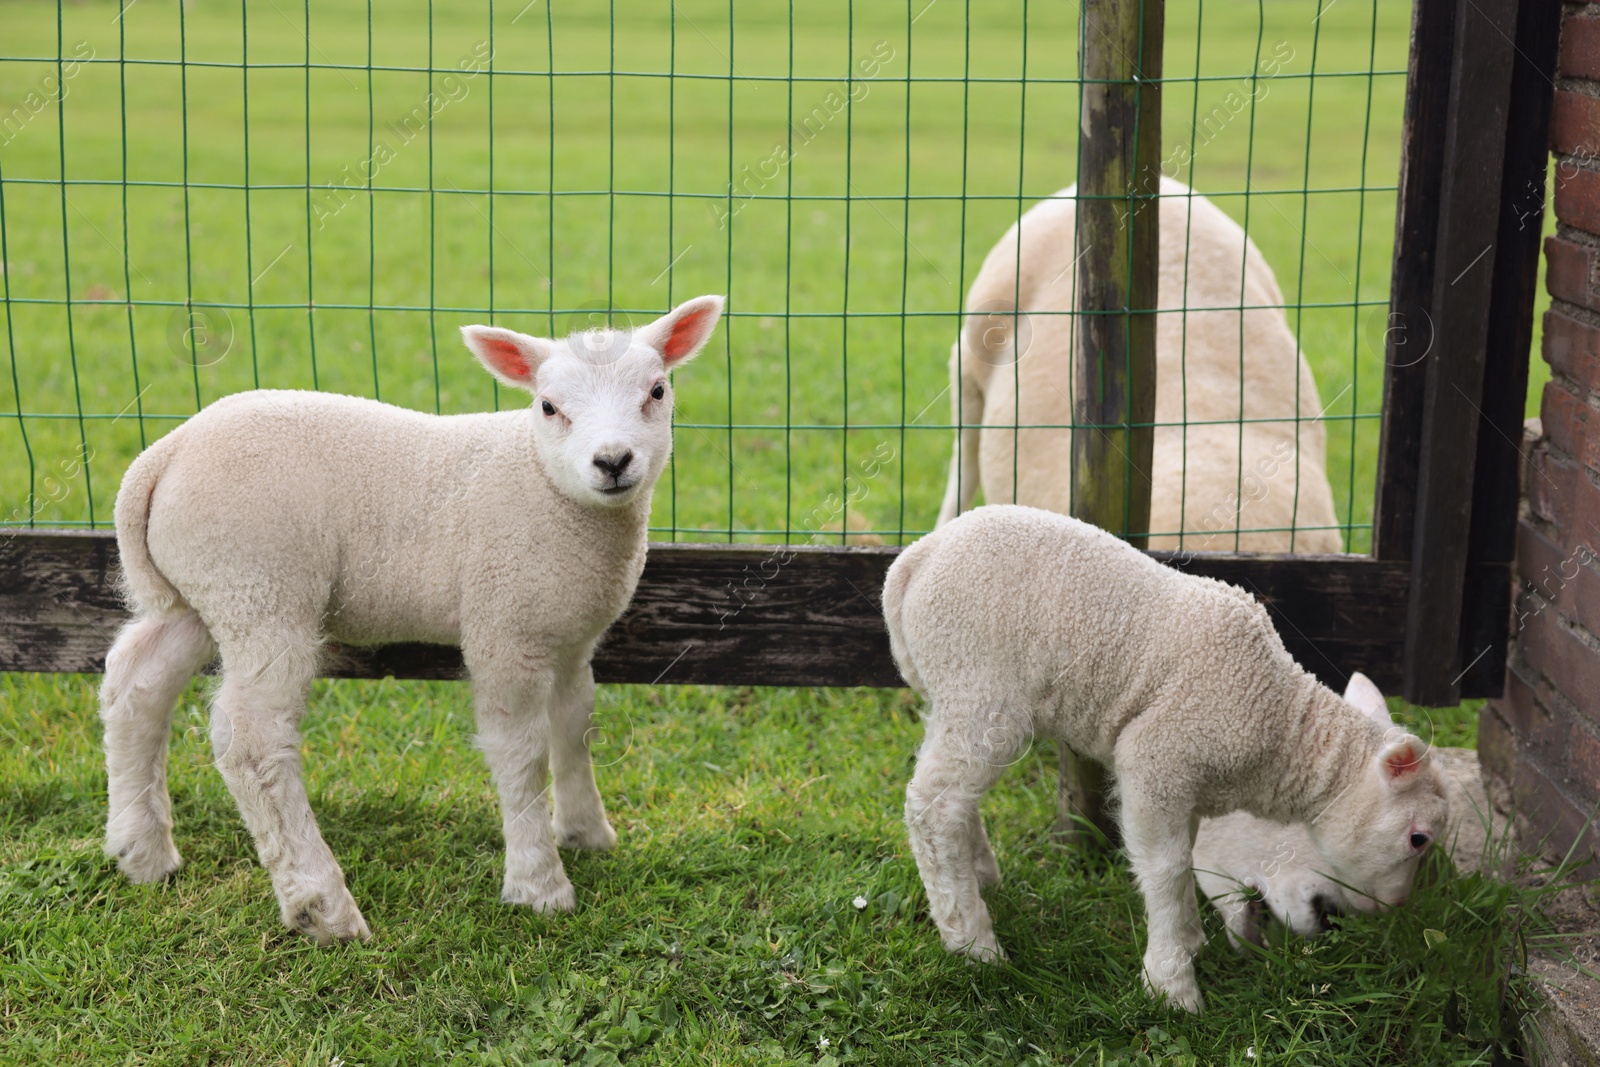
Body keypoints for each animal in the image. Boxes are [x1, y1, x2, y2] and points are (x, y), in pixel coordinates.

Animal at [100, 292, 726, 940]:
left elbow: (574, 726)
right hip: (261, 584)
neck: (543, 484)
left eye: (657, 390)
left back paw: (141, 852)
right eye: (549, 407)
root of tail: (163, 457)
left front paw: (586, 832)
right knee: (251, 741)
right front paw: (538, 884)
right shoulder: (505, 625)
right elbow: (522, 752)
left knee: (137, 682)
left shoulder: (569, 632)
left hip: (202, 592)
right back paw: (323, 907)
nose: (612, 461)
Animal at [889, 505, 1452, 1017]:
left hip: (956, 697)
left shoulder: (1194, 782)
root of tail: (916, 558)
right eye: (1418, 838)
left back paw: (981, 877)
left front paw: (1190, 938)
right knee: (931, 805)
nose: (1395, 906)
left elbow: (1187, 856)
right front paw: (1171, 985)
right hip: (980, 688)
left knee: (954, 796)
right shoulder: (1157, 757)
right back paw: (973, 944)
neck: (1277, 722)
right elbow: (1166, 868)